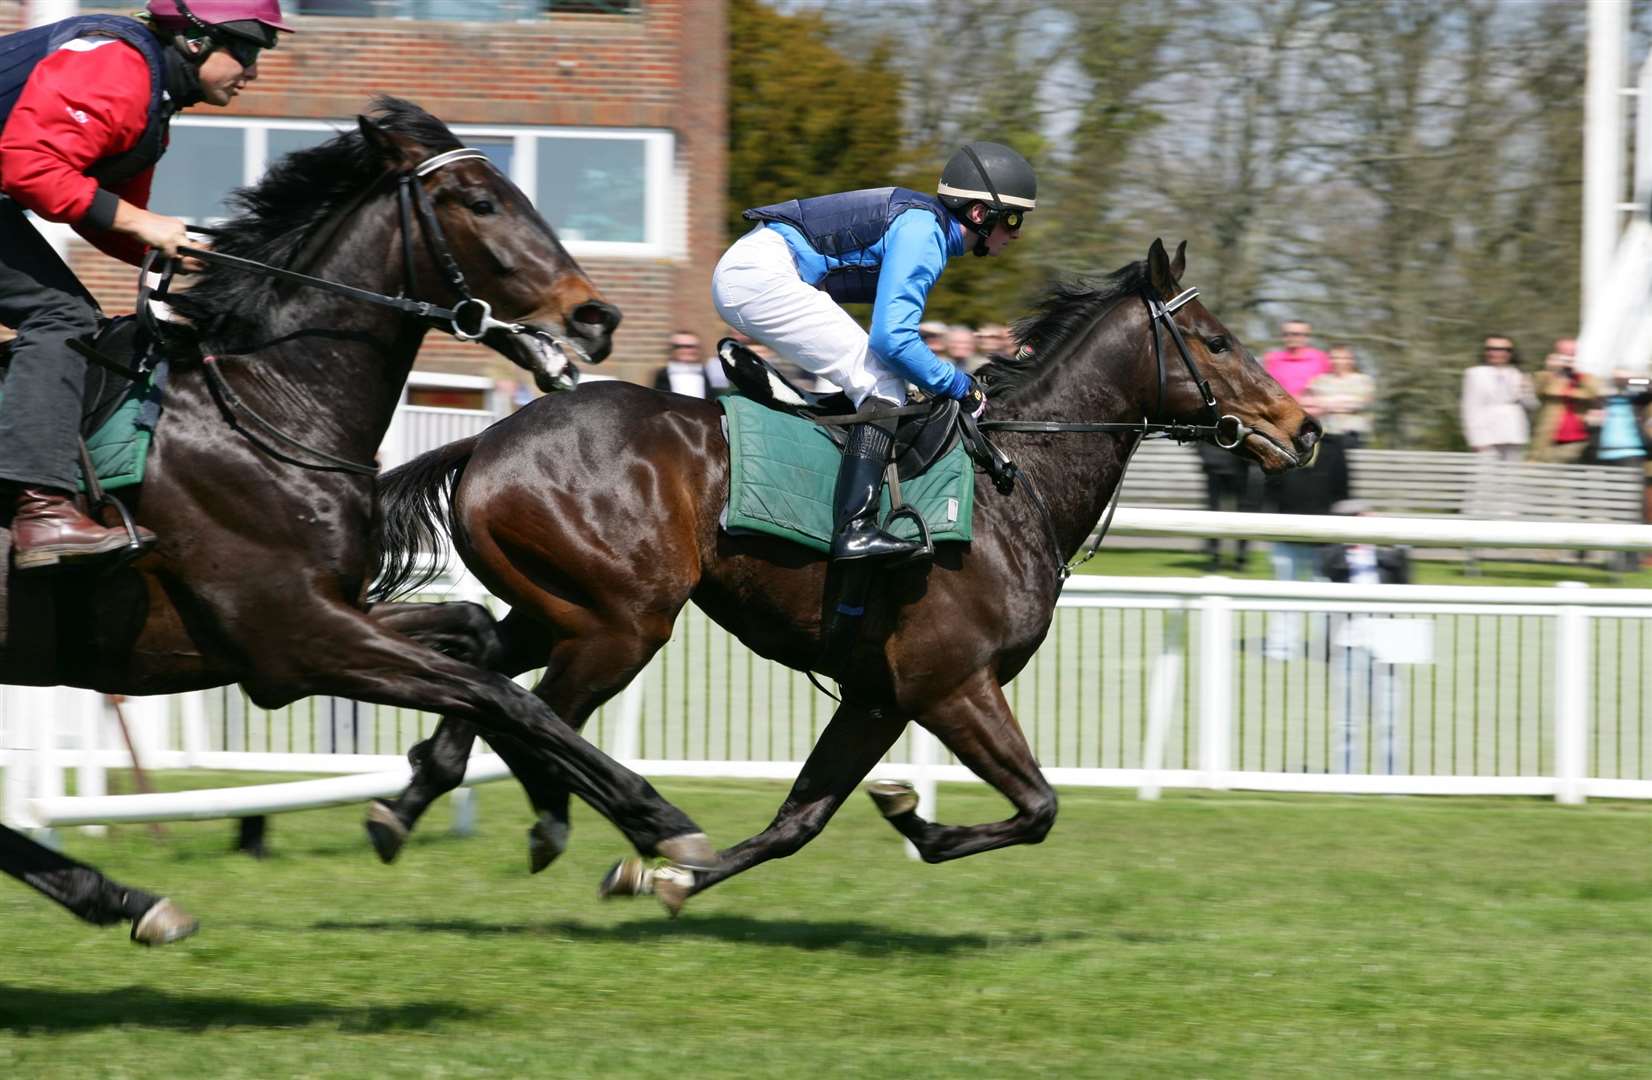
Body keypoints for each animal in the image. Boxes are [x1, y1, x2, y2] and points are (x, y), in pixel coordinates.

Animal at [0, 101, 716, 951]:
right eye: (482, 200)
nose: (595, 315)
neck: (264, 406)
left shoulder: (331, 616)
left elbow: (478, 639)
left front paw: (479, 795)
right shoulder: (297, 640)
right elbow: (505, 696)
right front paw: (653, 821)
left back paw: (126, 900)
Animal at [365, 241, 1314, 918]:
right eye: (1218, 341)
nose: (1302, 429)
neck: (1017, 478)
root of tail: (488, 440)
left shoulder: (878, 696)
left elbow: (801, 821)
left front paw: (673, 880)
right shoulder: (951, 683)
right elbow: (1039, 806)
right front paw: (908, 818)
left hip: (557, 605)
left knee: (487, 675)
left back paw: (410, 803)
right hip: (623, 624)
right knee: (537, 718)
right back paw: (579, 819)